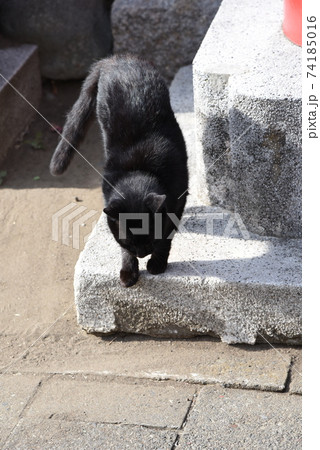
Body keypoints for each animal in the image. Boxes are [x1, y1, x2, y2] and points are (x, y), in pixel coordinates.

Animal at [50, 54, 188, 286]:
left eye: (150, 237)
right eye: (129, 242)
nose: (142, 254)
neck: (140, 169)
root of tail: (116, 59)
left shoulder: (178, 199)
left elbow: (166, 236)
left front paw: (157, 264)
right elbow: (123, 251)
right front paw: (128, 271)